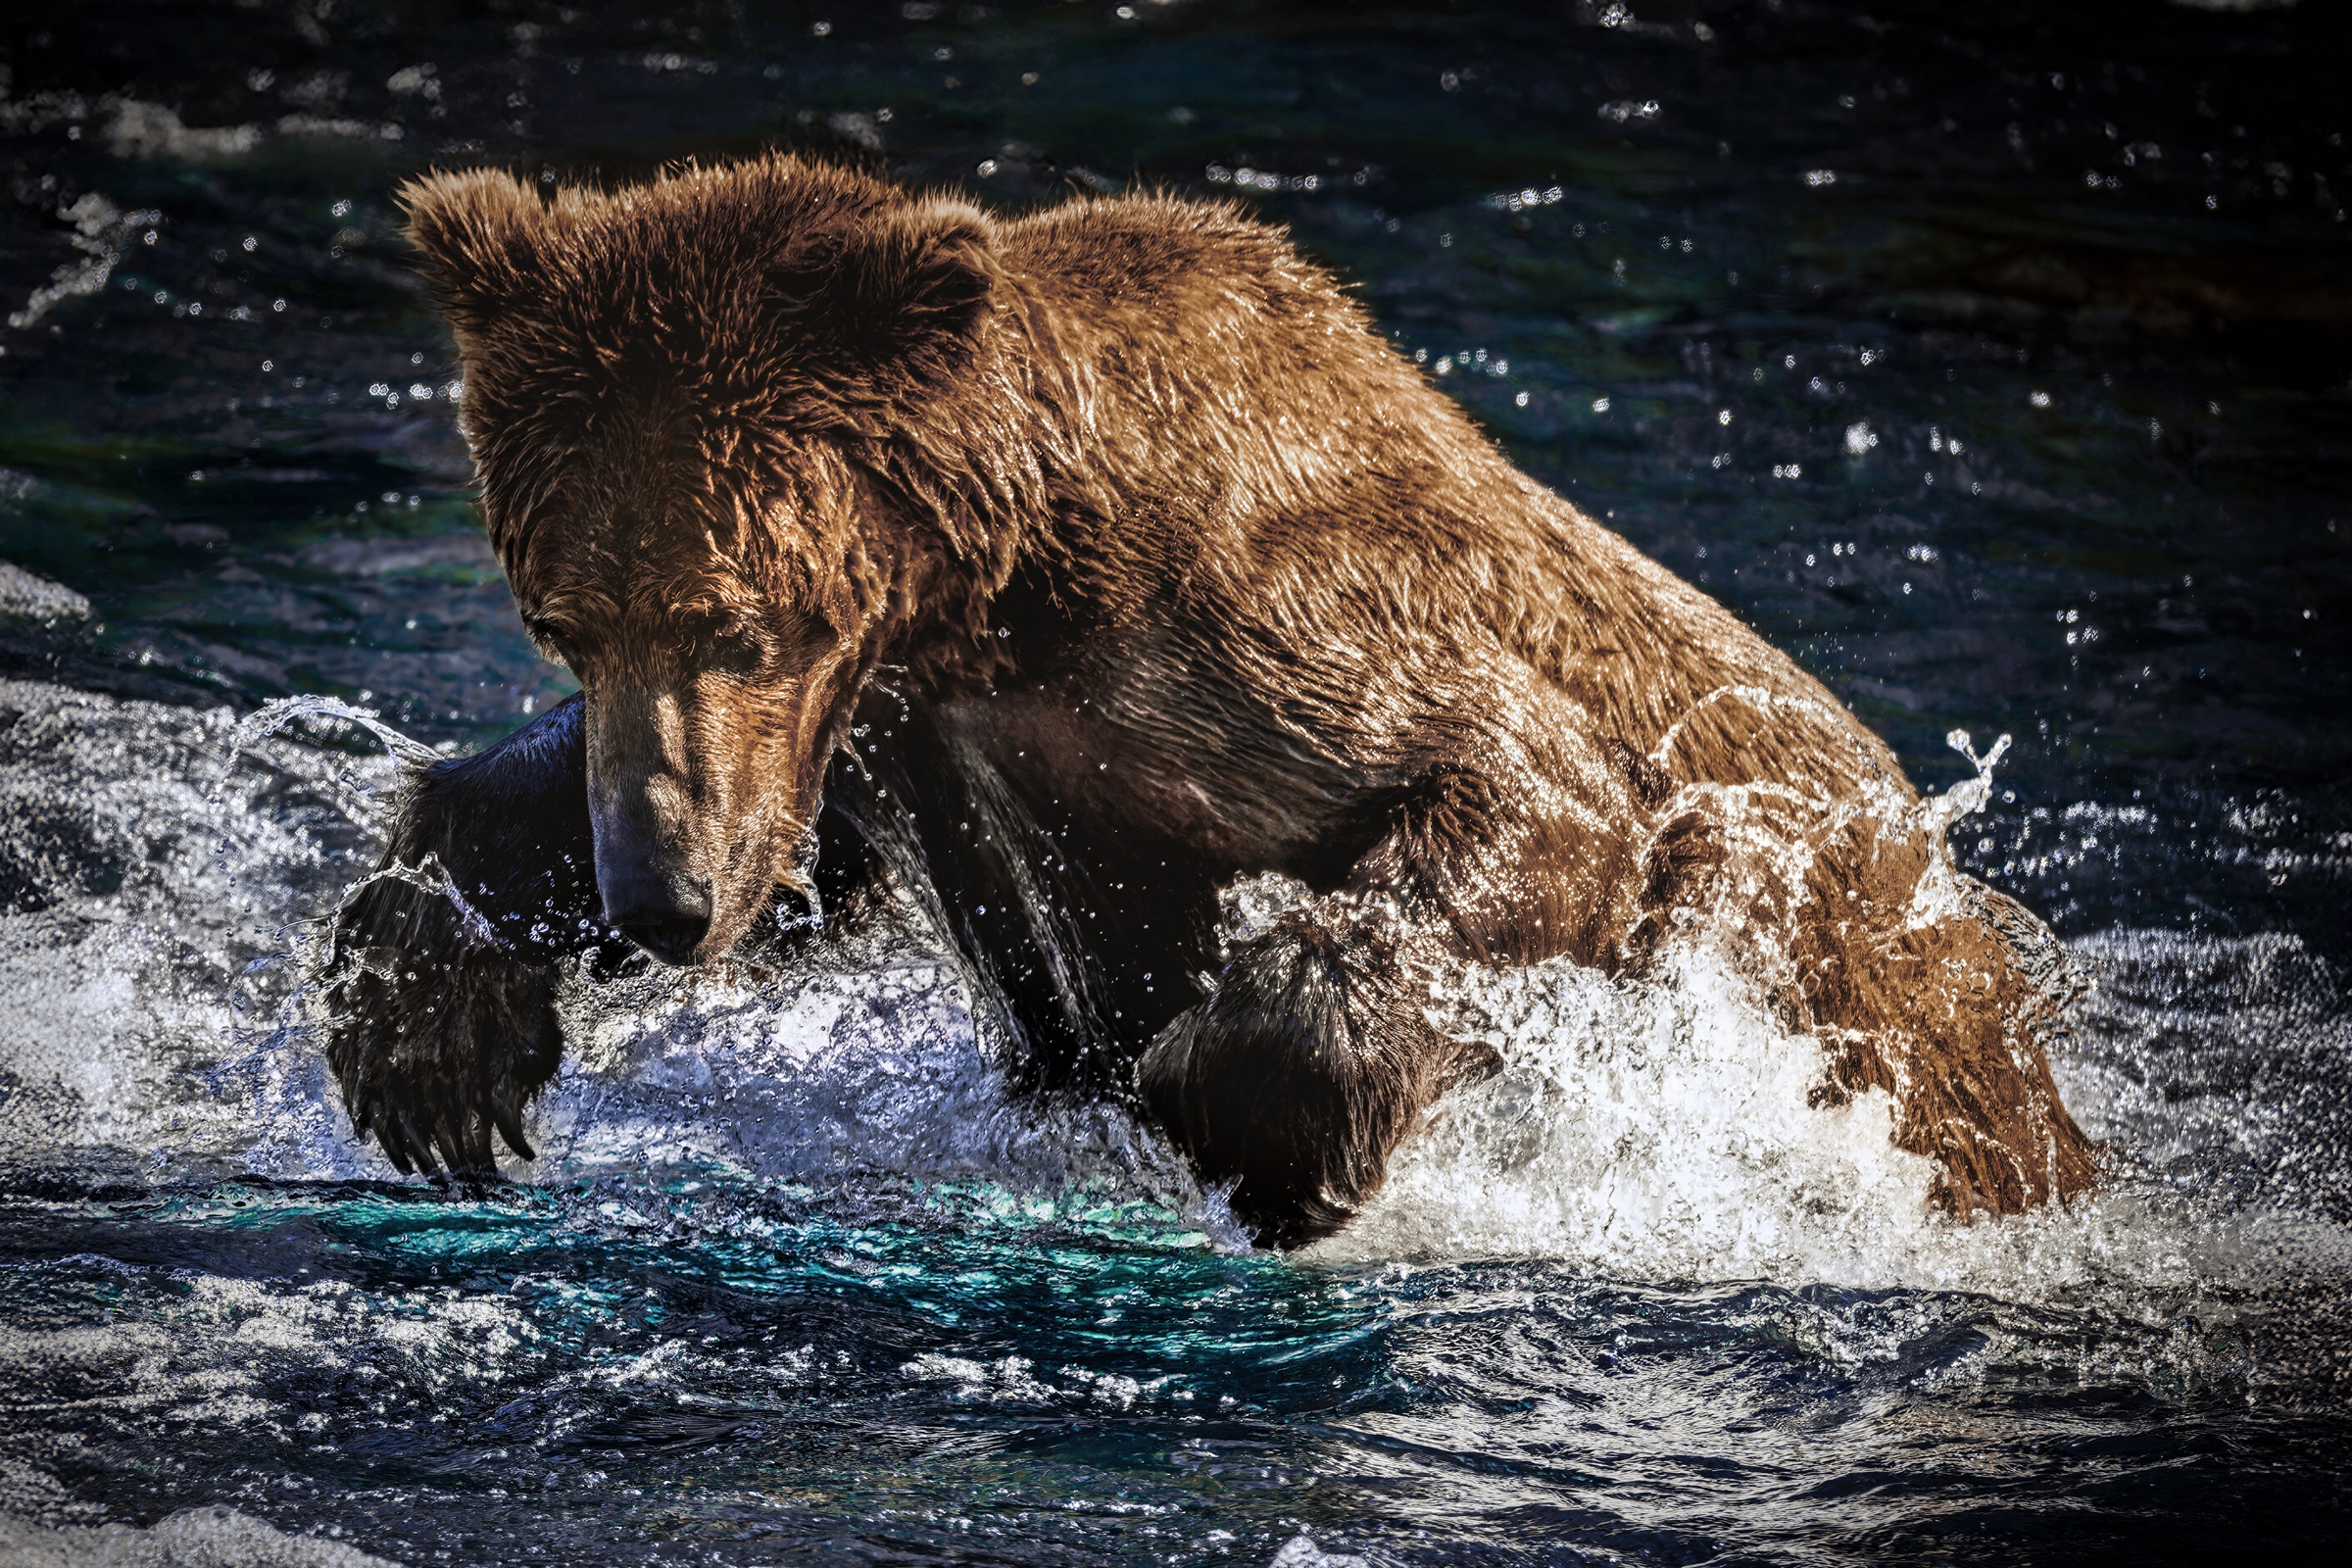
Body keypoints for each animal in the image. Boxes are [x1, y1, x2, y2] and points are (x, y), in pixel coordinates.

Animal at [317, 154, 2098, 1246]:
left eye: (735, 620)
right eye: (562, 622)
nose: (663, 897)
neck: (1003, 587)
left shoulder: (1253, 623)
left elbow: (1527, 796)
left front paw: (1248, 1119)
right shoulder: (890, 730)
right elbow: (811, 861)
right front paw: (428, 1021)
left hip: (1900, 1031)